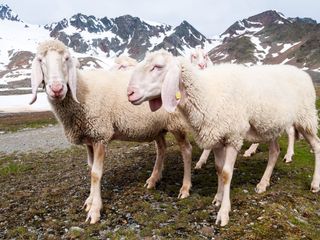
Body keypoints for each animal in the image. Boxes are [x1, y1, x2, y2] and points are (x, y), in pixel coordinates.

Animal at [29, 40, 192, 223]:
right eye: (40, 60)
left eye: (66, 59)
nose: (57, 88)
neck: (82, 91)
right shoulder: (89, 138)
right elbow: (90, 169)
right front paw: (90, 201)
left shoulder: (100, 134)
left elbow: (96, 173)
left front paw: (95, 210)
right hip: (157, 126)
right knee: (162, 149)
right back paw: (153, 179)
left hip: (177, 123)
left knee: (186, 150)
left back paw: (185, 188)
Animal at [127, 49, 320, 226]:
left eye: (158, 67)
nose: (130, 93)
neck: (207, 94)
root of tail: (301, 72)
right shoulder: (218, 136)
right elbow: (219, 169)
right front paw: (218, 198)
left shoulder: (234, 136)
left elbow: (227, 173)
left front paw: (224, 212)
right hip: (270, 125)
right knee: (274, 151)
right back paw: (263, 183)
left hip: (305, 117)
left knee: (316, 146)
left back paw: (315, 184)